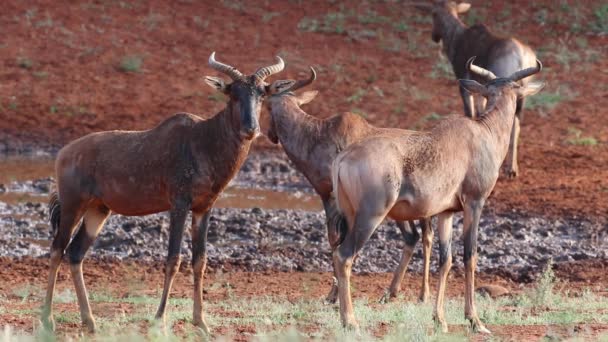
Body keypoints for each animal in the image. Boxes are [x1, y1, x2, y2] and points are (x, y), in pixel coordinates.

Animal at [42, 52, 294, 334]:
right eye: (233, 94)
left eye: (262, 93)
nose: (251, 129)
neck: (202, 138)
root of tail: (64, 153)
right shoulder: (179, 204)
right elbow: (174, 258)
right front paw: (159, 320)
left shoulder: (203, 208)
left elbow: (200, 260)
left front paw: (201, 323)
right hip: (73, 205)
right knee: (57, 249)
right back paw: (48, 320)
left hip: (98, 210)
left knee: (75, 254)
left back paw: (90, 322)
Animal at [264, 68, 432, 304]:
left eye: (266, 104)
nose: (270, 135)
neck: (320, 134)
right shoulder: (328, 196)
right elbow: (335, 240)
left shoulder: (337, 201)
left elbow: (338, 240)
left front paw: (332, 296)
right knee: (414, 236)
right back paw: (391, 292)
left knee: (426, 236)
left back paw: (423, 295)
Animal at [330, 58, 544, 334]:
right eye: (515, 90)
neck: (481, 133)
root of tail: (344, 157)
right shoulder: (474, 204)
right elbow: (470, 256)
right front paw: (475, 321)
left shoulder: (446, 213)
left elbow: (446, 260)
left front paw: (440, 320)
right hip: (370, 216)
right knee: (344, 256)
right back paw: (351, 322)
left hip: (349, 215)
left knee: (337, 252)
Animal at [414, 1, 536, 179]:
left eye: (433, 14)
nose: (434, 37)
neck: (459, 37)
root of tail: (521, 56)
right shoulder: (483, 89)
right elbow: (480, 112)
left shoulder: (465, 86)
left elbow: (470, 113)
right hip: (521, 94)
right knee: (517, 124)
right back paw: (512, 169)